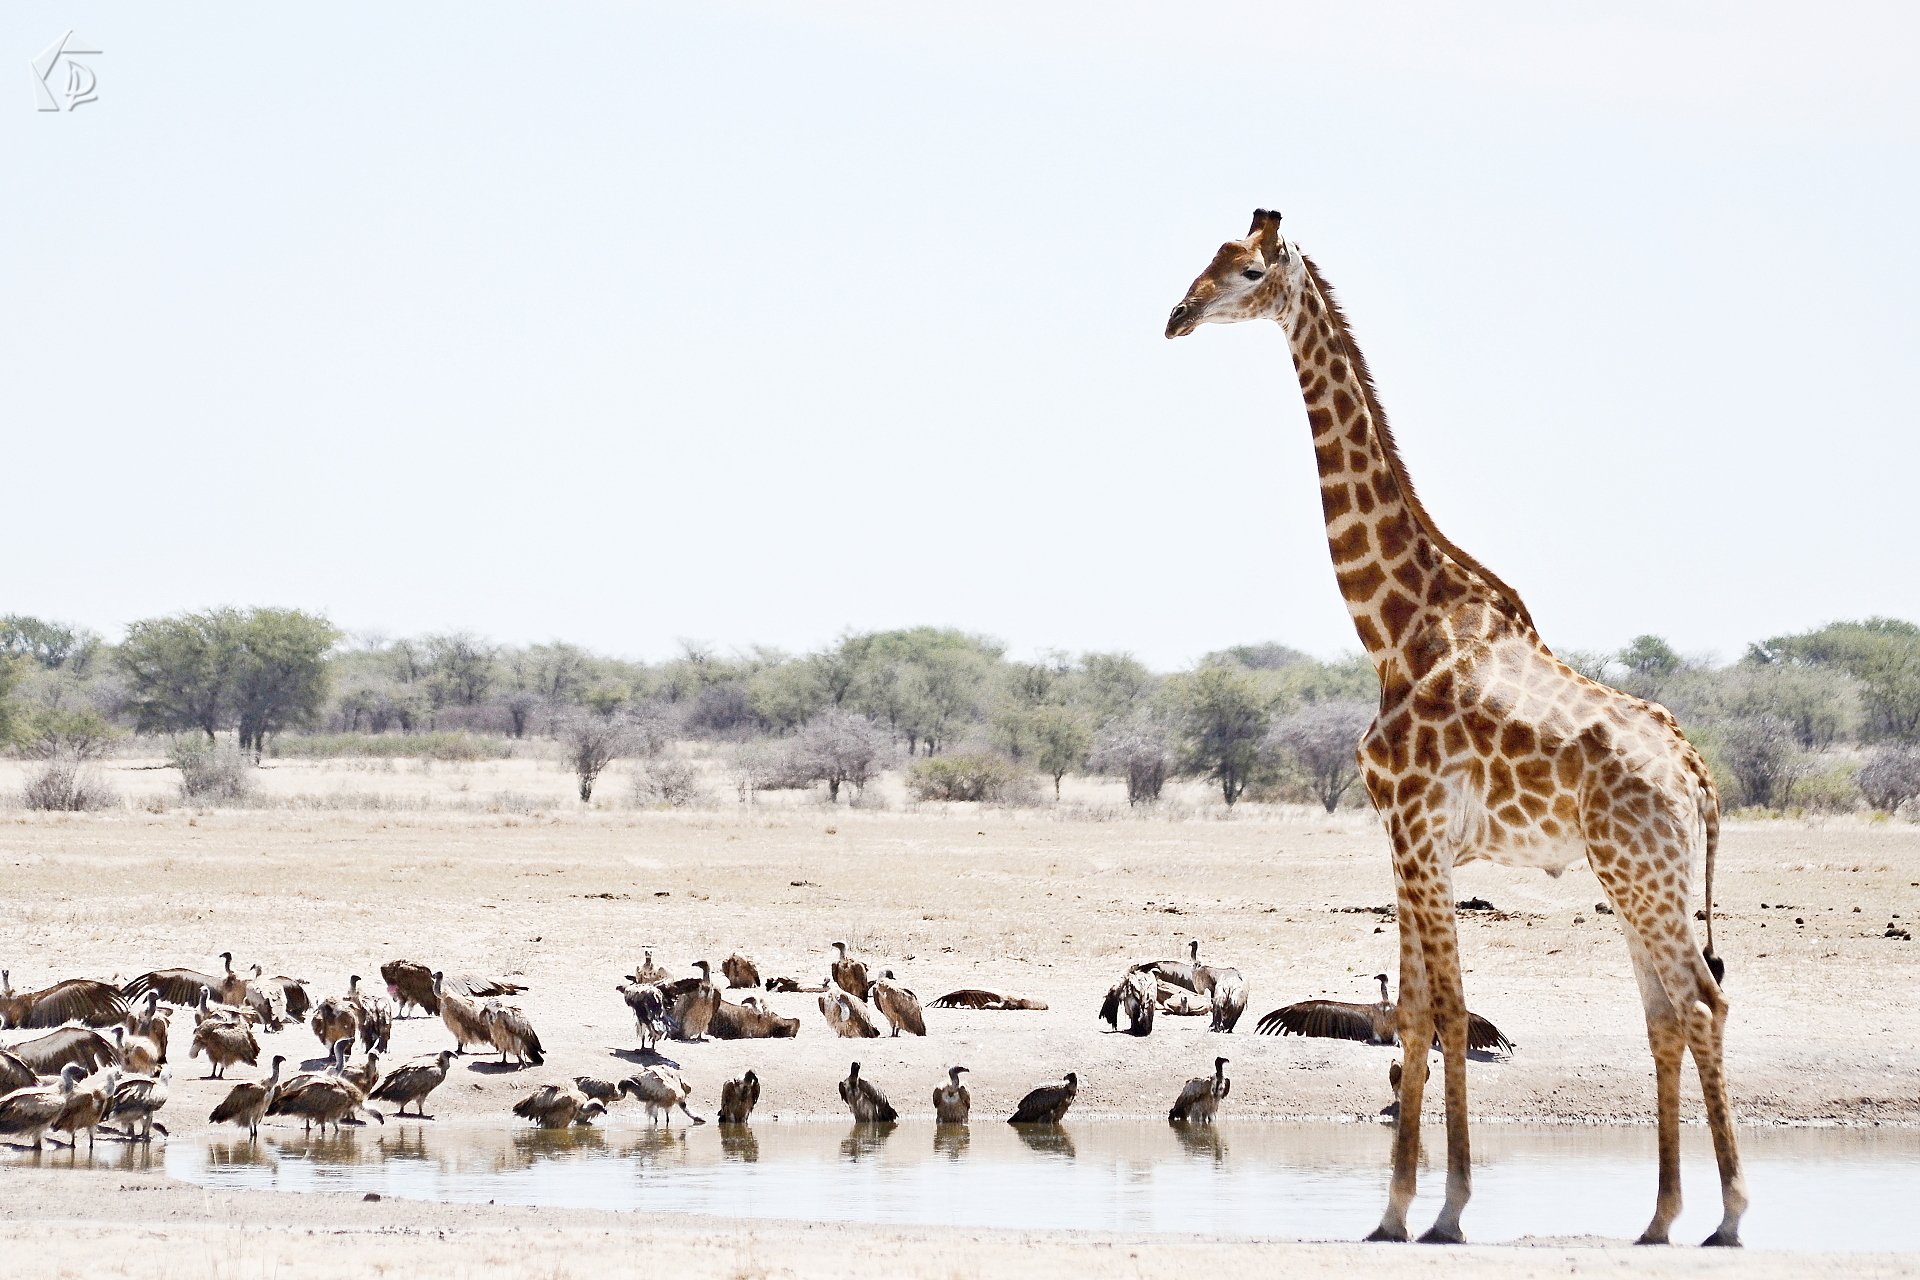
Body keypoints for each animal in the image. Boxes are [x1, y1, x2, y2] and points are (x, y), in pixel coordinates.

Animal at [1165, 210, 1744, 1247]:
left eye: (1249, 270)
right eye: (1210, 258)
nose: (1177, 315)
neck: (1394, 624)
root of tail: (1697, 776)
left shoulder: (1415, 830)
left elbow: (1446, 1009)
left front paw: (1437, 1211)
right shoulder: (1409, 841)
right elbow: (1414, 1014)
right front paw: (1401, 1211)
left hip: (1641, 873)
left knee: (1700, 1002)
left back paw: (1728, 1217)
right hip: (1640, 875)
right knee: (1666, 1011)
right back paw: (1661, 1217)